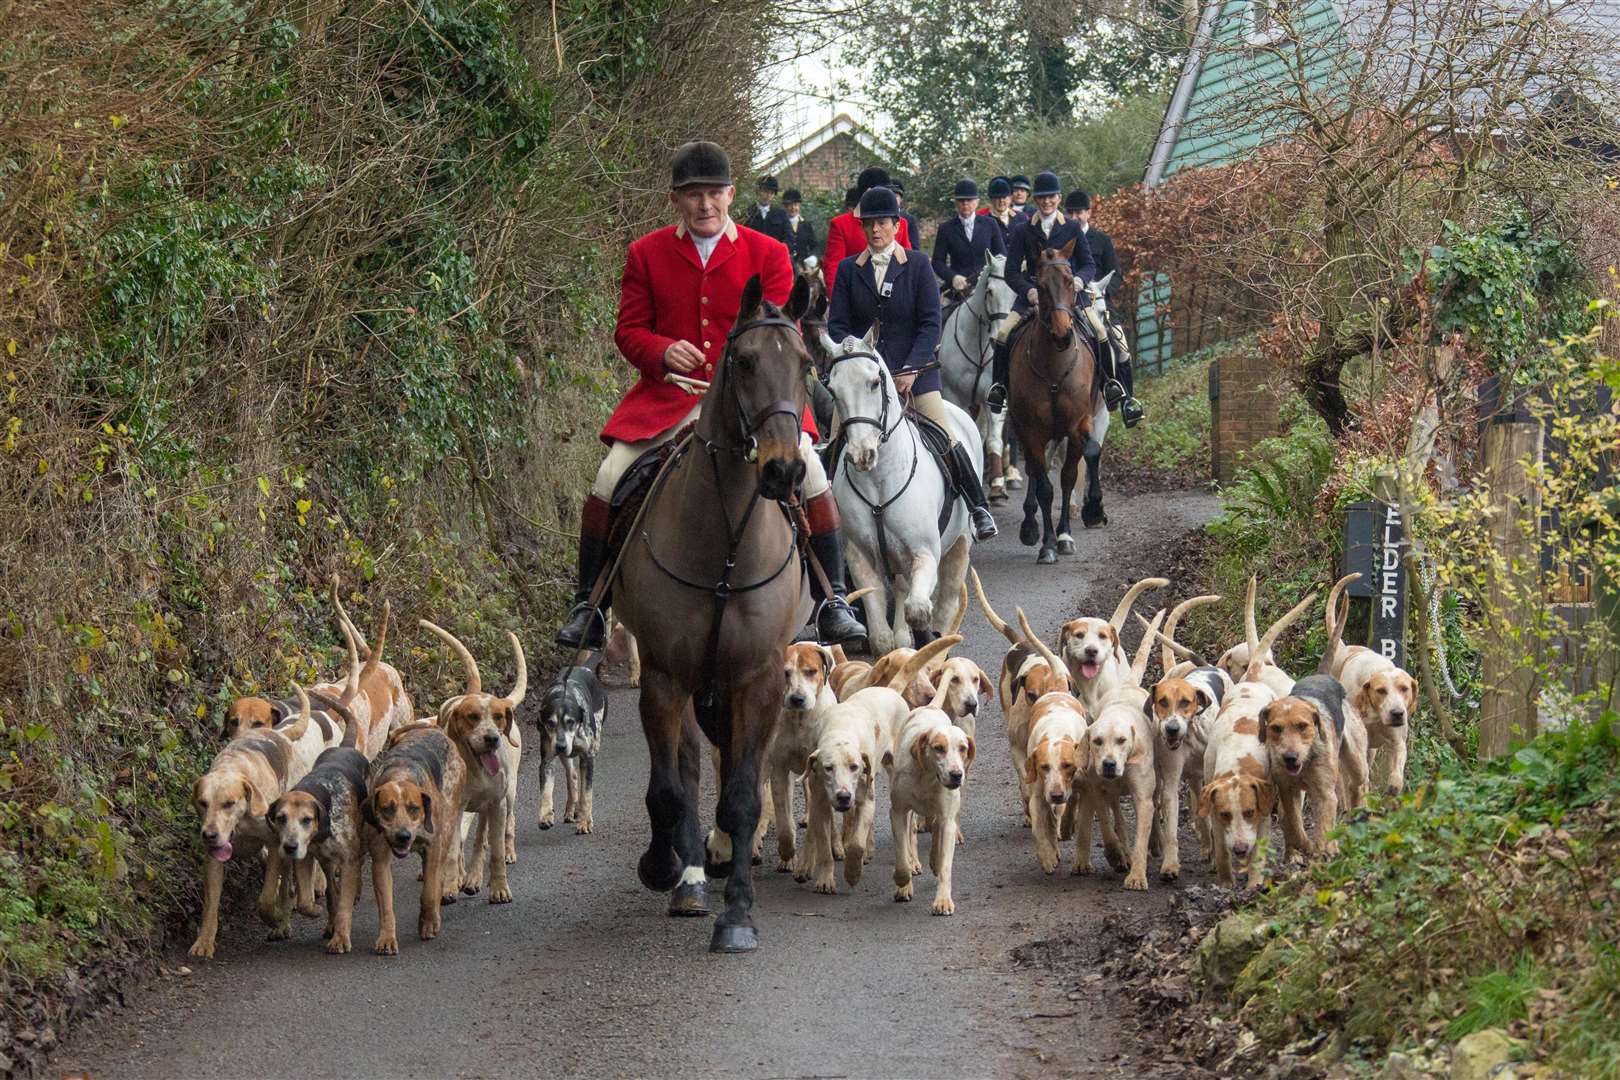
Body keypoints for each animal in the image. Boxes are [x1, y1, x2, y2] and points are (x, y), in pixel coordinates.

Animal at [609, 272, 810, 952]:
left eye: (806, 364)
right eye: (743, 362)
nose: (784, 469)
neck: (723, 541)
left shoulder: (759, 677)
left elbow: (743, 795)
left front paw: (738, 912)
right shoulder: (664, 675)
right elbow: (670, 788)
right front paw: (666, 866)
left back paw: (719, 856)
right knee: (691, 766)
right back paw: (692, 873)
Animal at [822, 330, 972, 654]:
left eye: (873, 382)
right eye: (833, 390)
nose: (862, 454)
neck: (880, 480)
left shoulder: (924, 552)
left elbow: (917, 609)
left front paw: (925, 640)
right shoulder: (861, 558)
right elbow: (881, 637)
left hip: (960, 545)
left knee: (946, 603)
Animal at [939, 254, 1010, 501]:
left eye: (1016, 293)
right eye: (989, 291)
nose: (999, 338)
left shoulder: (995, 398)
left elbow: (993, 437)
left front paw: (998, 484)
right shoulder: (954, 396)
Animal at [1004, 238, 1108, 566]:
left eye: (1070, 280)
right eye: (1040, 284)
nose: (1063, 334)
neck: (1052, 365)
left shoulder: (1079, 425)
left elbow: (1073, 471)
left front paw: (1082, 520)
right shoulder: (1031, 432)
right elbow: (1046, 487)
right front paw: (1048, 543)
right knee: (1035, 473)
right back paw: (1029, 526)